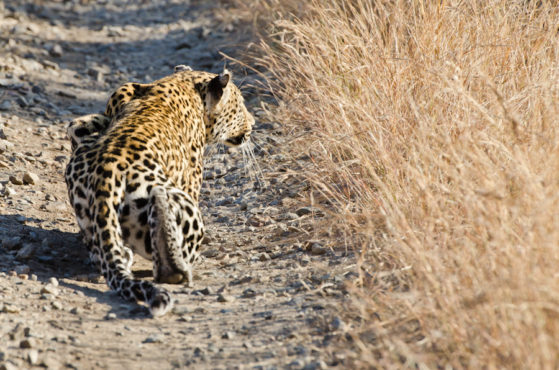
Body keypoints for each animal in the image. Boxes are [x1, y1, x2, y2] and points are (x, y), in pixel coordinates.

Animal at [64, 65, 255, 316]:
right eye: (240, 105)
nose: (254, 123)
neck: (187, 85)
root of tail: (105, 179)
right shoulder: (191, 181)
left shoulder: (122, 94)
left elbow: (81, 123)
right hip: (182, 207)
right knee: (168, 264)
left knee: (108, 254)